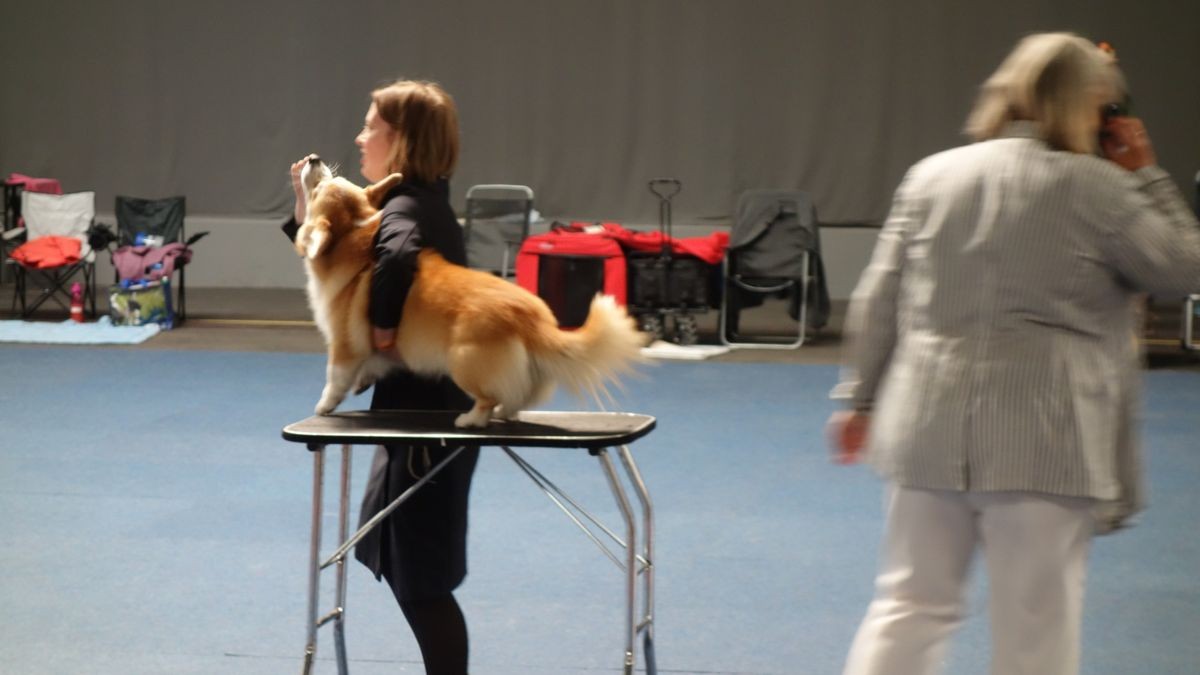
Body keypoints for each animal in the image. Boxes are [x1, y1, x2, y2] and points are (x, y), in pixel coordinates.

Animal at [292, 157, 648, 425]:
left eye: (319, 187)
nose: (313, 159)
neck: (353, 236)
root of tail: (532, 319)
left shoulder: (344, 346)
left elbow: (335, 379)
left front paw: (324, 406)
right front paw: (365, 381)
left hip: (463, 362)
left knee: (489, 397)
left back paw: (470, 420)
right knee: (519, 397)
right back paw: (505, 414)